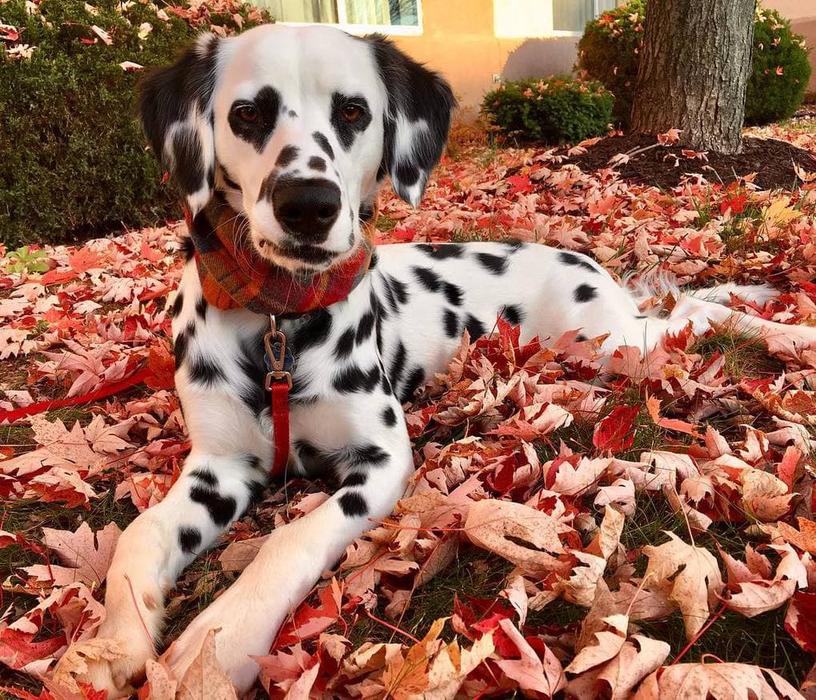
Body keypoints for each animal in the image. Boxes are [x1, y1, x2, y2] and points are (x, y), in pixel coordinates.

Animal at [81, 21, 816, 696]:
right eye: (248, 114)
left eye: (353, 111)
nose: (307, 206)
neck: (277, 323)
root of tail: (582, 262)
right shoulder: (217, 470)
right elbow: (137, 538)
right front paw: (110, 644)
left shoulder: (380, 462)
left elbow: (292, 537)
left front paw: (224, 634)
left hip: (614, 343)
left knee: (693, 312)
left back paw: (782, 329)